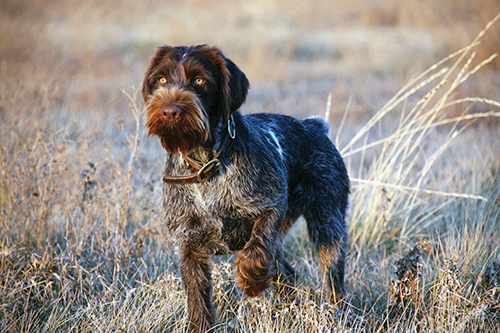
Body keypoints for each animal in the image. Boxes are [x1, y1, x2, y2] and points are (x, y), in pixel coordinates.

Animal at [143, 44, 350, 332]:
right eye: (161, 79)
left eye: (199, 80)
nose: (170, 111)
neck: (206, 164)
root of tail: (312, 126)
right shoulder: (188, 245)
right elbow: (197, 302)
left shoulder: (271, 207)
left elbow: (256, 248)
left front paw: (250, 280)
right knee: (287, 272)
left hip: (328, 224)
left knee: (332, 281)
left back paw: (336, 314)